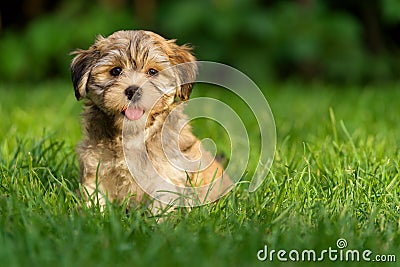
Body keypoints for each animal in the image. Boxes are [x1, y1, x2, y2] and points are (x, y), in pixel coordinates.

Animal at [69, 30, 231, 211]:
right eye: (116, 71)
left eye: (152, 72)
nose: (133, 90)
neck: (133, 133)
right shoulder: (96, 166)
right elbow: (95, 196)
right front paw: (92, 214)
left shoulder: (166, 174)